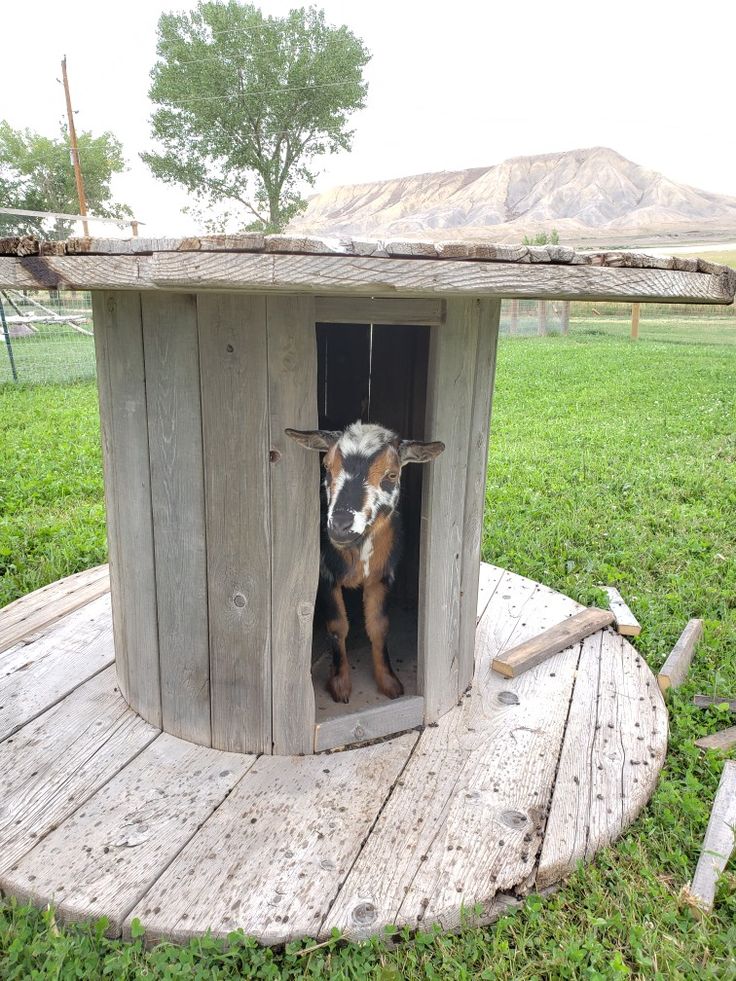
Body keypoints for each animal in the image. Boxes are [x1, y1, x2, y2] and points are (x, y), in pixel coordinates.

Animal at [286, 418, 442, 700]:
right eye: (326, 467)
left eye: (392, 474)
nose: (340, 525)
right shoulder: (325, 575)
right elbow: (338, 626)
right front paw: (340, 684)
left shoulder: (382, 577)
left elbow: (379, 626)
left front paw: (389, 682)